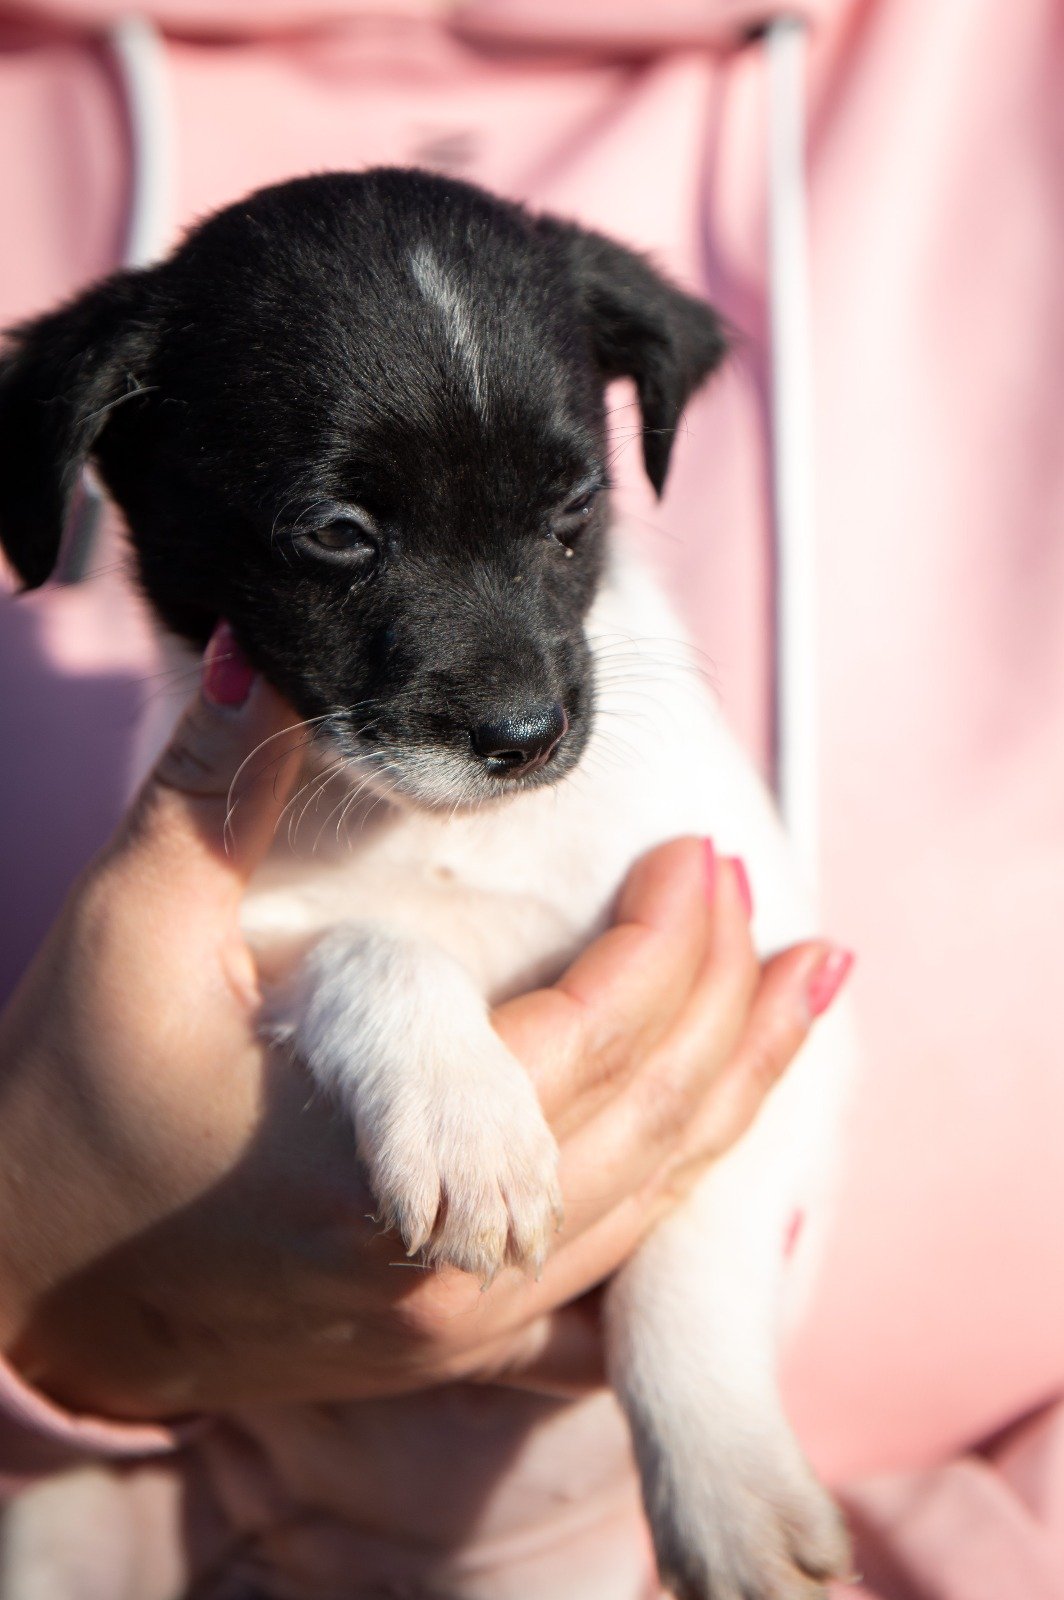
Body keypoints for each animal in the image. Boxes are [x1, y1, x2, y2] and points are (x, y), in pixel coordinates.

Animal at [0, 168, 852, 1600]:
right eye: (338, 535)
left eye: (572, 514)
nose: (522, 735)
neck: (442, 830)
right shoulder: (263, 929)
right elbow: (378, 947)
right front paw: (466, 1122)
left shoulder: (760, 1006)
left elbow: (685, 1261)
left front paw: (728, 1490)